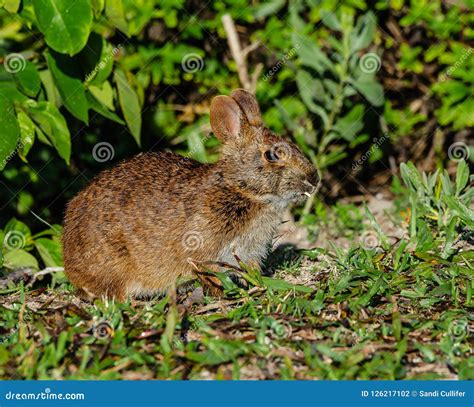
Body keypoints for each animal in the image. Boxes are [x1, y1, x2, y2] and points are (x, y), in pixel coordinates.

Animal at [62, 89, 318, 302]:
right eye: (272, 155)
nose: (314, 179)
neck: (240, 189)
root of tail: (70, 263)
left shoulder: (249, 253)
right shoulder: (202, 249)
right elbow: (210, 275)